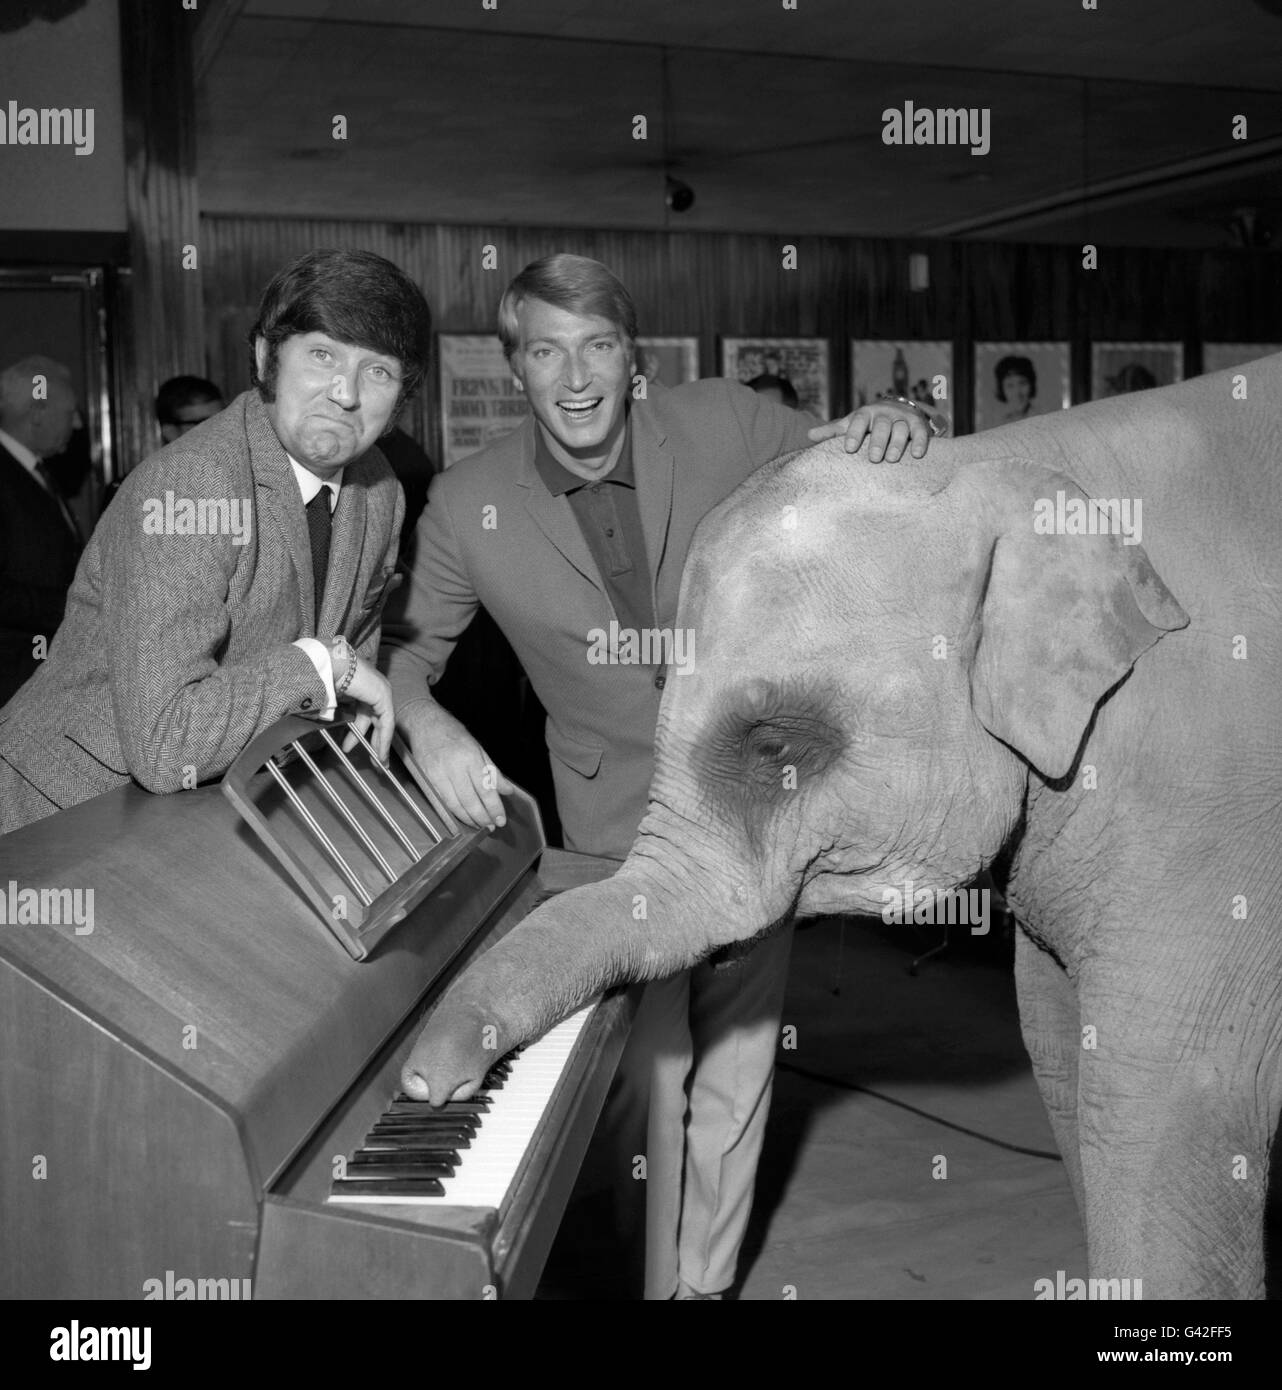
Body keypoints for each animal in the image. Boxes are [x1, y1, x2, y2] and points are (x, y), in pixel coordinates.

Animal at [403, 353, 1279, 1295]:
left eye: (773, 743)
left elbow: (1158, 1107)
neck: (1014, 460)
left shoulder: (1206, 810)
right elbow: (1055, 1050)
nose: (425, 1086)